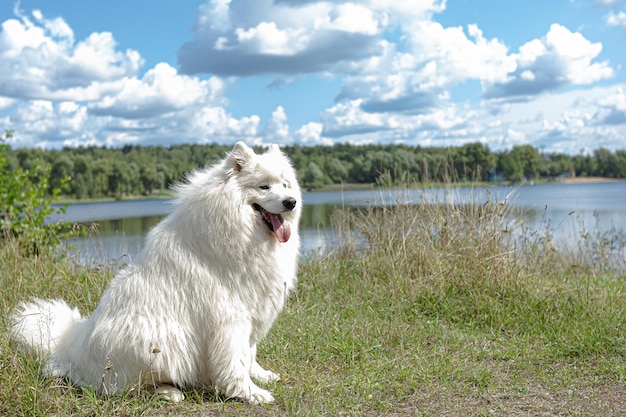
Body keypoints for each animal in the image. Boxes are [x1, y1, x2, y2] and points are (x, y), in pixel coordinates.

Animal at [10, 142, 302, 404]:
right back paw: (168, 392)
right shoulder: (229, 318)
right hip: (155, 339)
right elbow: (235, 362)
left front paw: (262, 376)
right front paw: (250, 394)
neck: (240, 230)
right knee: (123, 389)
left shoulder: (252, 311)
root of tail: (70, 348)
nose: (291, 202)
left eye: (285, 184)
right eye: (264, 186)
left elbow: (249, 355)